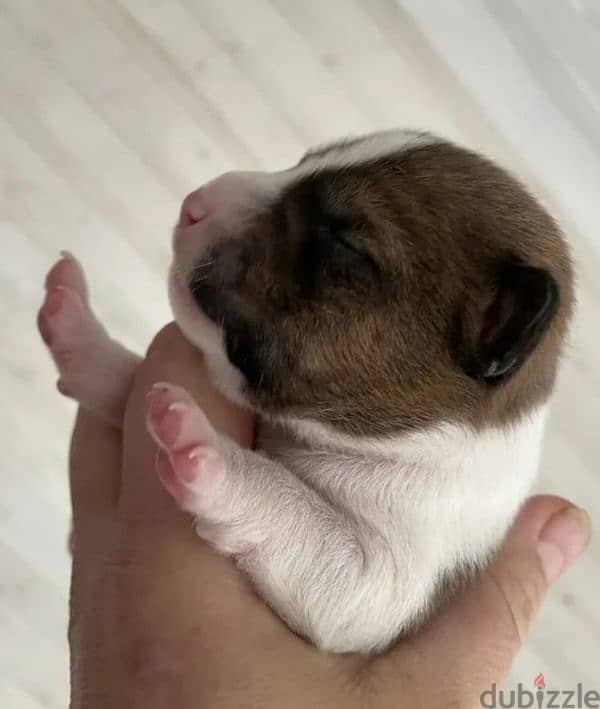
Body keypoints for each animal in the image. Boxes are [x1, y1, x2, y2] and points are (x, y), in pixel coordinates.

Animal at [37, 131, 572, 652]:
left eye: (343, 244)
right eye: (305, 158)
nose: (195, 202)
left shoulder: (386, 582)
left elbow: (298, 517)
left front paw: (203, 449)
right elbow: (127, 385)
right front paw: (79, 335)